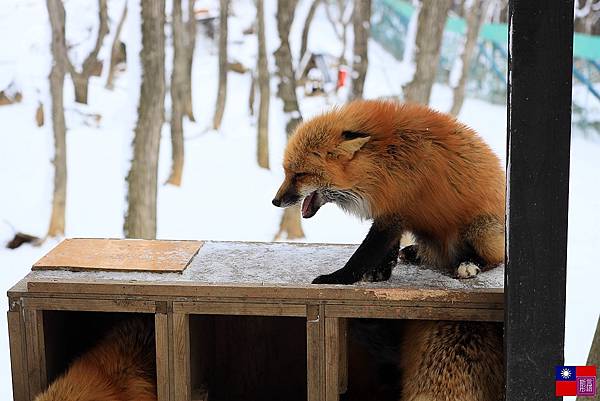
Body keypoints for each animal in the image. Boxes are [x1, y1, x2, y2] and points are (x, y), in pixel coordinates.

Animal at [274, 98, 506, 282]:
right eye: (286, 172)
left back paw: (468, 264)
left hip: (479, 229)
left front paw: (337, 278)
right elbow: (386, 251)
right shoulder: (391, 211)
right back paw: (415, 252)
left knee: (495, 258)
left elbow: (365, 254)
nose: (275, 202)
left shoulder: (395, 210)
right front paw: (380, 273)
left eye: (300, 175)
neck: (381, 161)